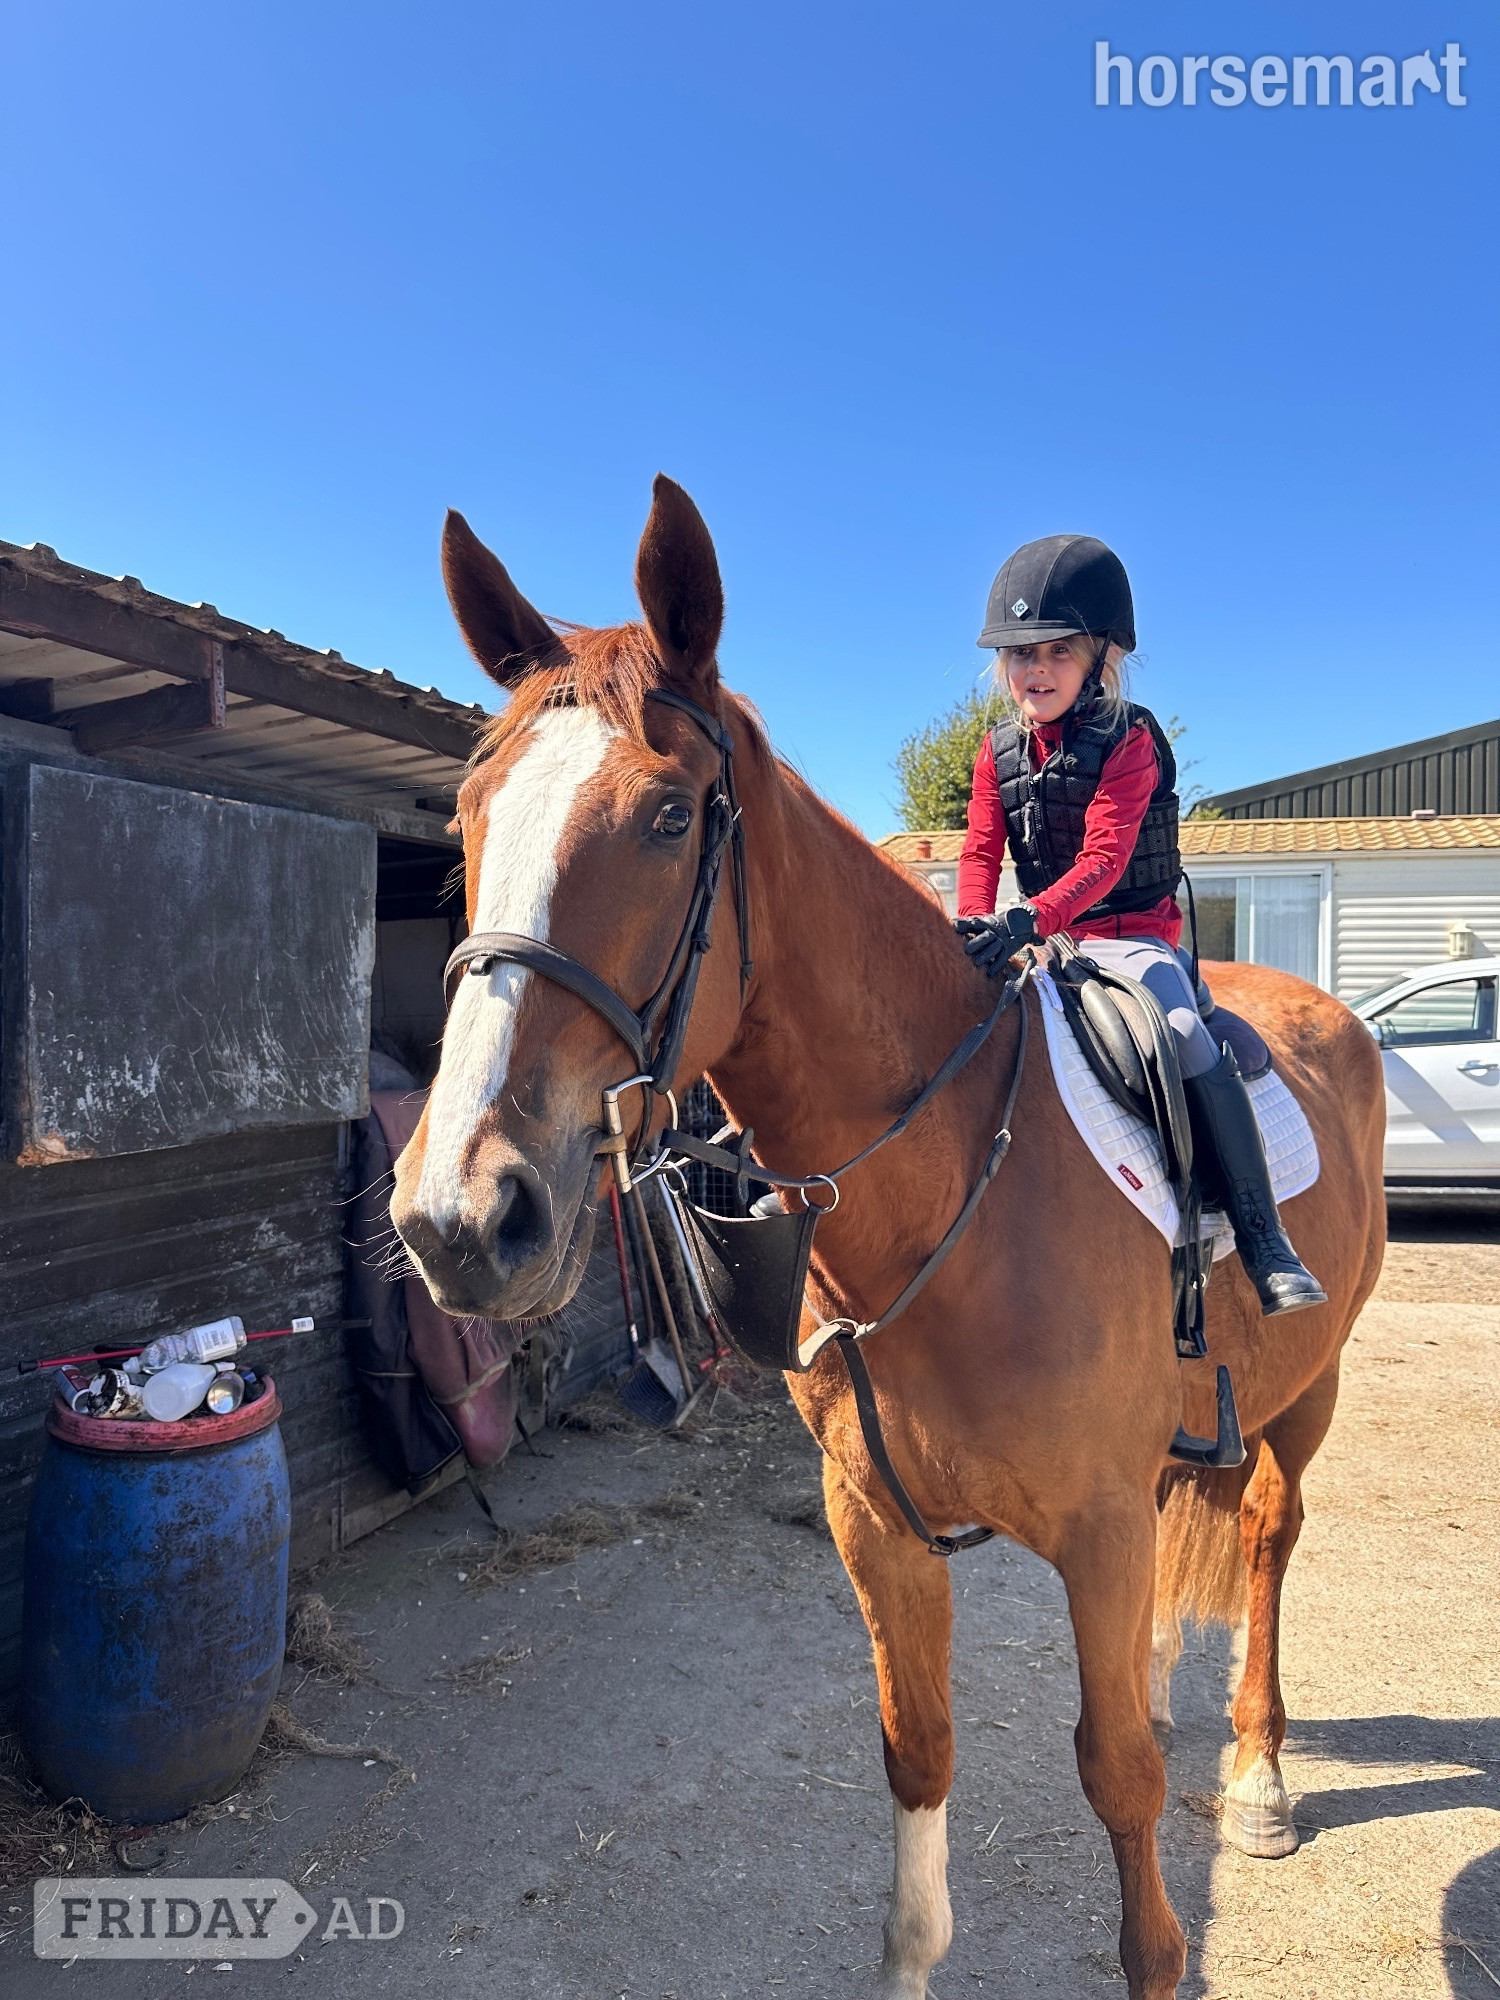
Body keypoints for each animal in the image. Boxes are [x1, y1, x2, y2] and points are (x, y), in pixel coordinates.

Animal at [390, 477, 1387, 1999]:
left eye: (669, 816)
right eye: (468, 813)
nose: (459, 1213)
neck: (950, 1194)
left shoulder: (1098, 1529)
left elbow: (1121, 1787)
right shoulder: (881, 1530)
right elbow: (918, 1763)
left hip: (1306, 1391)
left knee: (1270, 1538)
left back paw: (1261, 1775)